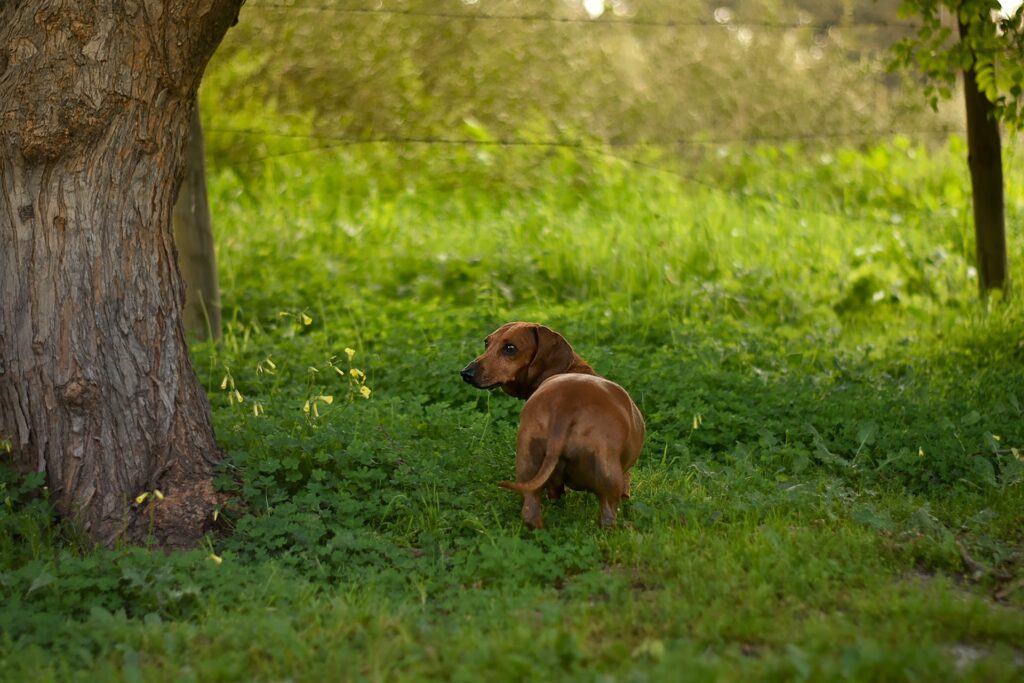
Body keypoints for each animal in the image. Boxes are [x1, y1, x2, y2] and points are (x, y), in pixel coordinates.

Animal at [462, 321, 643, 528]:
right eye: (487, 343)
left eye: (510, 348)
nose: (466, 373)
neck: (570, 368)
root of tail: (564, 407)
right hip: (609, 480)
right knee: (608, 515)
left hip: (528, 466)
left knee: (531, 510)